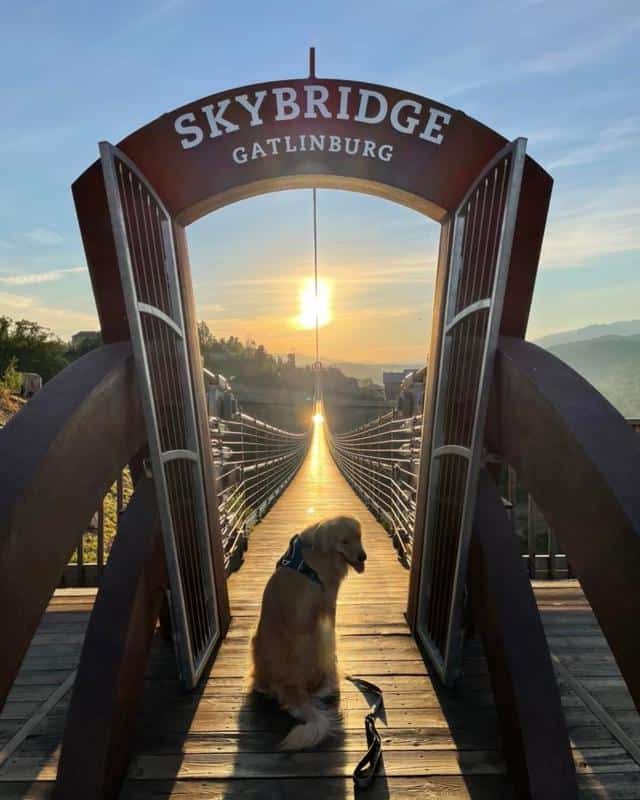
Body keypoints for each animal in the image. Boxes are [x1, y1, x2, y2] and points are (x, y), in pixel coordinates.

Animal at [252, 520, 368, 752]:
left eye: (359, 537)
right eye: (344, 541)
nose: (363, 557)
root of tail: (290, 686)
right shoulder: (329, 603)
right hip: (321, 638)